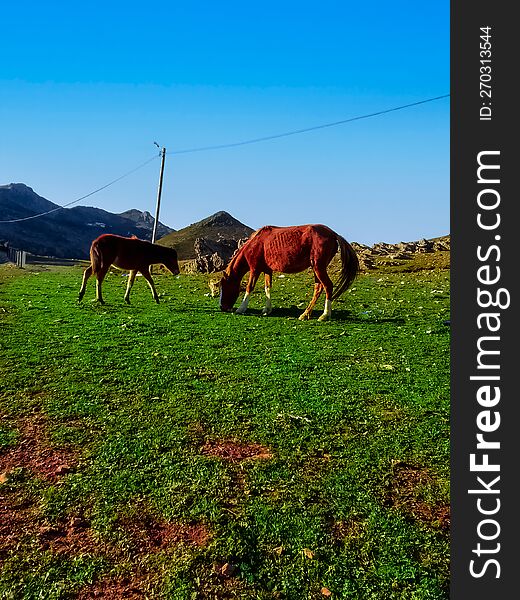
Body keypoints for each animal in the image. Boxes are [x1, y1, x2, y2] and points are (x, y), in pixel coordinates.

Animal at [218, 224, 358, 318]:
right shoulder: (267, 270)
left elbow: (249, 288)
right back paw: (305, 314)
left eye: (224, 286)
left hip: (319, 267)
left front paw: (241, 309)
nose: (222, 307)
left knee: (328, 286)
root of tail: (334, 234)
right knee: (318, 288)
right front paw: (267, 309)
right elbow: (267, 288)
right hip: (316, 269)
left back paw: (324, 315)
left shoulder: (255, 269)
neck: (255, 243)